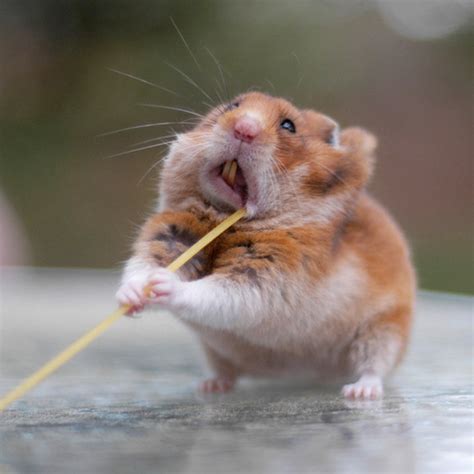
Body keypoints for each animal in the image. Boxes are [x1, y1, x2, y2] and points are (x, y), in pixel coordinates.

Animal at [117, 90, 414, 398]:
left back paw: (359, 391)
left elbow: (213, 292)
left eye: (288, 126)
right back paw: (210, 386)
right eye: (232, 106)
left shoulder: (267, 277)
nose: (243, 129)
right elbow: (141, 266)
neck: (225, 219)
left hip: (384, 330)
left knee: (374, 366)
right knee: (227, 371)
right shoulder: (170, 237)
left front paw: (163, 284)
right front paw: (132, 295)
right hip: (215, 351)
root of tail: (312, 374)